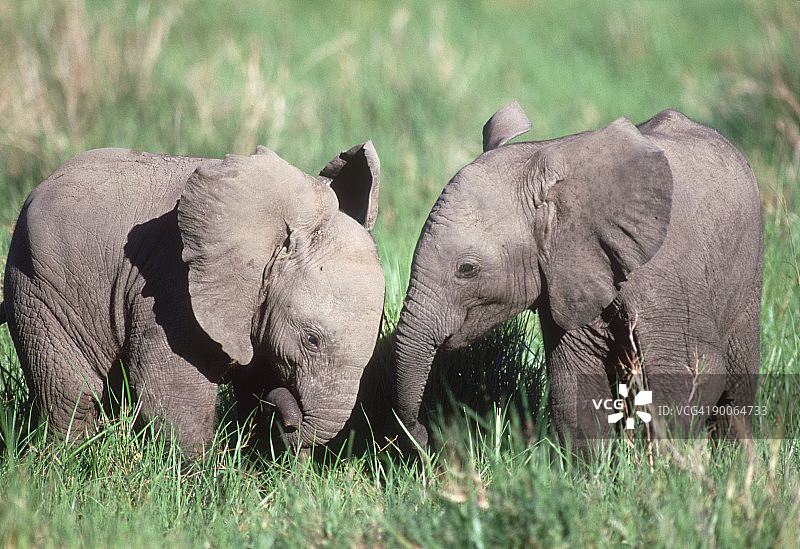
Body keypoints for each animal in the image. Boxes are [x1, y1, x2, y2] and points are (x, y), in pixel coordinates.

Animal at [0, 142, 385, 455]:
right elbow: (169, 392)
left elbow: (255, 380)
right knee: (72, 396)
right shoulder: (172, 285)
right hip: (37, 288)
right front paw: (206, 487)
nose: (289, 420)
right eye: (311, 340)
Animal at [392, 102, 762, 450]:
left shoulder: (667, 272)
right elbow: (574, 388)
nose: (424, 435)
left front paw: (668, 470)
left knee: (738, 391)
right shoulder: (564, 278)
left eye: (466, 269)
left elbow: (686, 376)